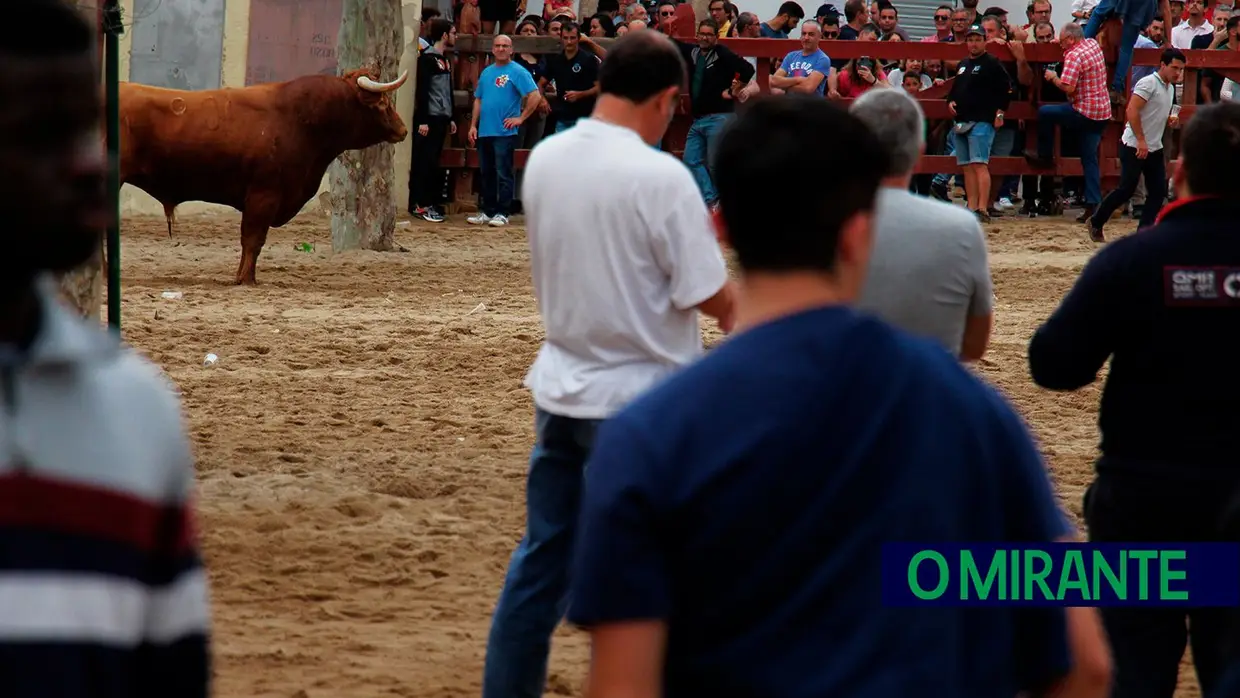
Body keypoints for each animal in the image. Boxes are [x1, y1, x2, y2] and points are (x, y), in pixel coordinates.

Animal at [117, 66, 406, 283]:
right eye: (382, 103)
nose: (403, 129)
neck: (302, 120)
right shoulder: (264, 195)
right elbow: (253, 240)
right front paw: (246, 279)